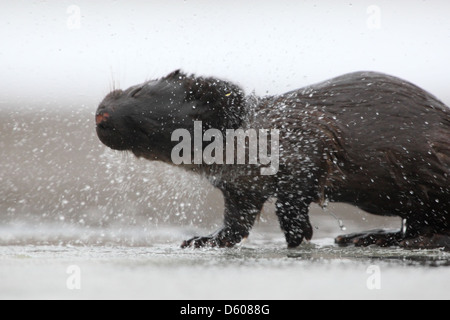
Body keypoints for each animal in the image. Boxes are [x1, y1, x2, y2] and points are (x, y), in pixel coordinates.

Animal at [95, 70, 450, 250]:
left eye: (140, 93)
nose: (101, 116)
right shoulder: (239, 187)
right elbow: (236, 224)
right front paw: (203, 239)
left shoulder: (307, 142)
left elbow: (293, 195)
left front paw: (297, 234)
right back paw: (366, 236)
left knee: (435, 225)